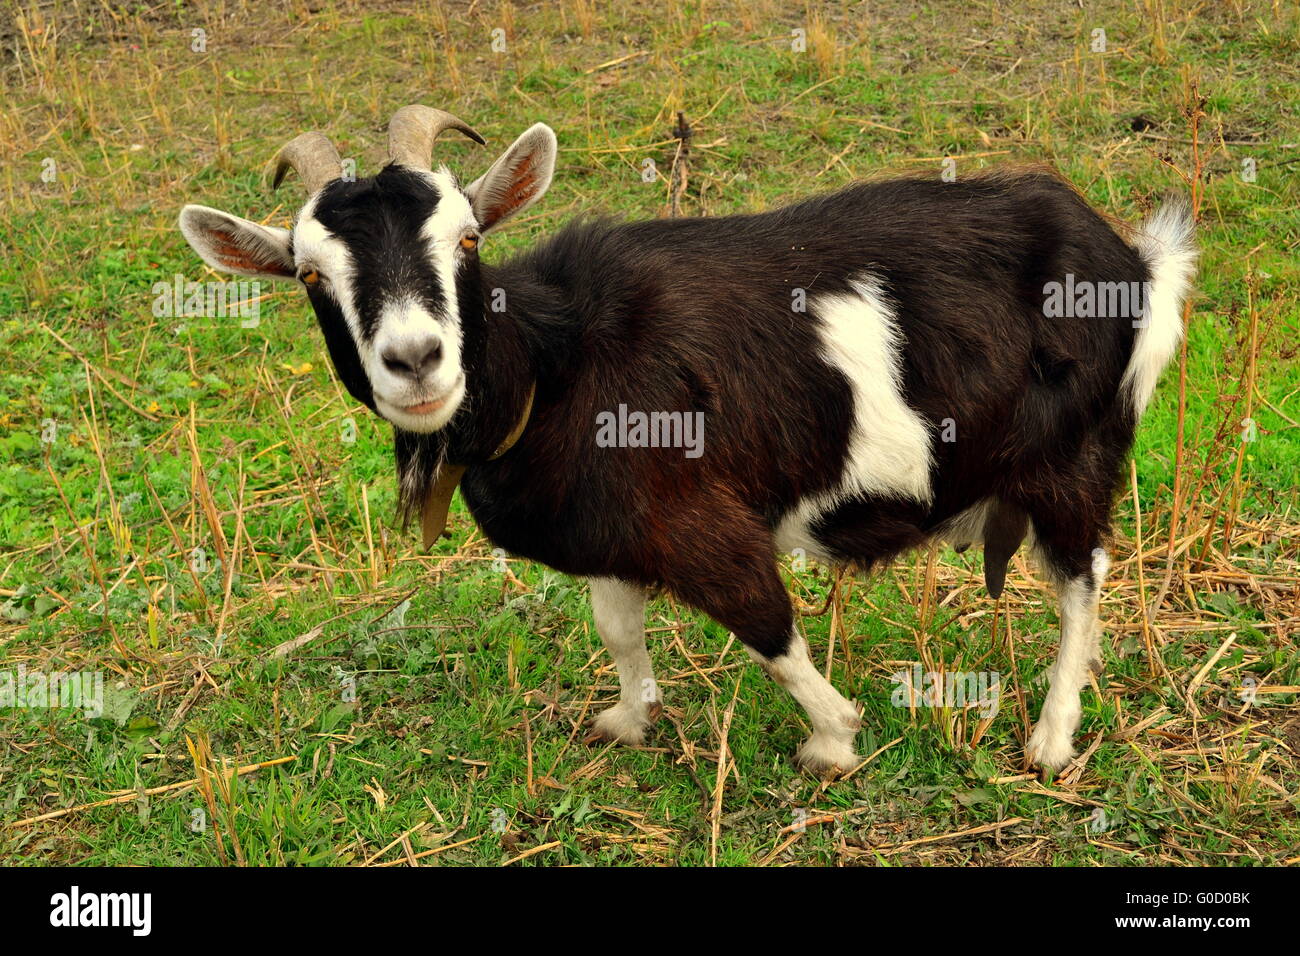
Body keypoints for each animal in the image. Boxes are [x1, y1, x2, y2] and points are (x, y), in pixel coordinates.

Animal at [179, 105, 1196, 774]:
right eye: (310, 273)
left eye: (466, 239)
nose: (416, 359)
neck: (558, 365)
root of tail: (1132, 262)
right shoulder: (615, 537)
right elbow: (618, 628)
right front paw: (628, 719)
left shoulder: (706, 526)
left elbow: (768, 627)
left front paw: (833, 741)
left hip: (1070, 457)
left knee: (1082, 581)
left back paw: (1053, 738)